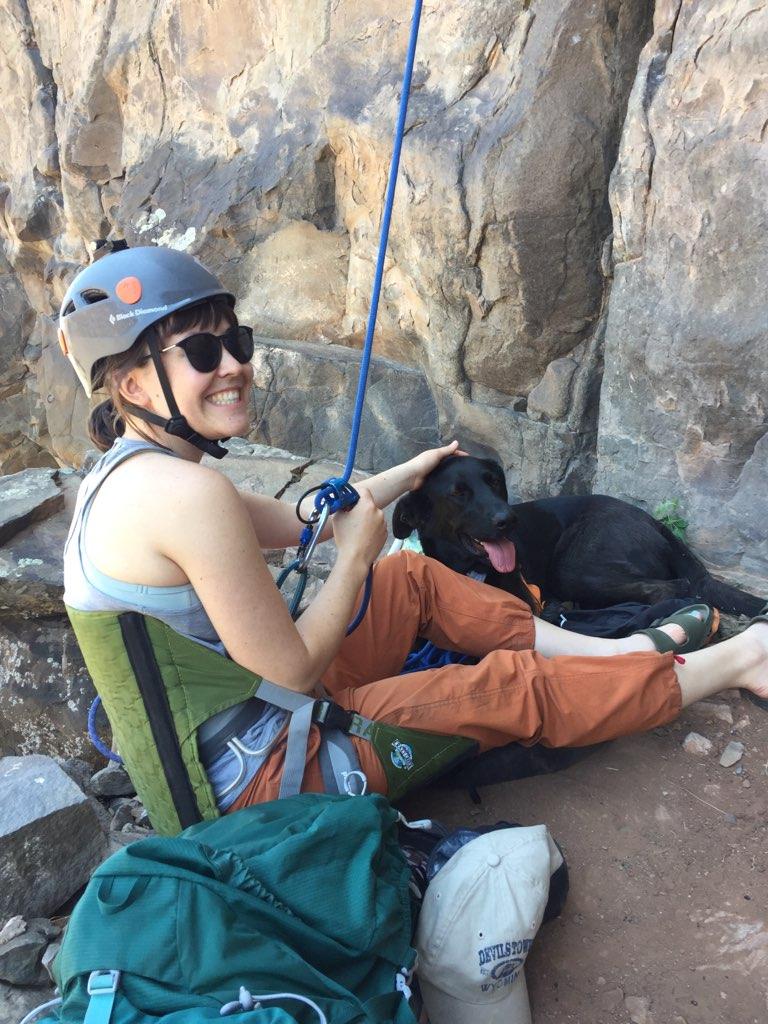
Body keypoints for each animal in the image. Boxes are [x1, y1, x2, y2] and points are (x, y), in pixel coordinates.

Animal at [393, 456, 765, 614]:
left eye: (495, 481)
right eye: (458, 493)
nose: (508, 519)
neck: (469, 570)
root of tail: (652, 521)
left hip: (575, 566)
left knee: (671, 588)